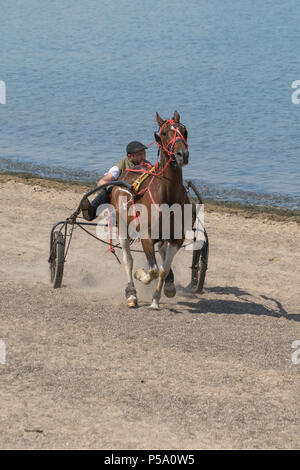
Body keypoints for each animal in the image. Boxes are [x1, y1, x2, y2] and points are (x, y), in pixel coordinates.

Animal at [110, 109, 190, 308]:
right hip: (122, 225)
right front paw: (141, 274)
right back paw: (131, 293)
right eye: (164, 133)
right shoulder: (146, 235)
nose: (182, 154)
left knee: (161, 254)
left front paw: (156, 299)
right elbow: (152, 270)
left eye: (185, 131)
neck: (167, 195)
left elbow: (163, 269)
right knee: (128, 260)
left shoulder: (177, 238)